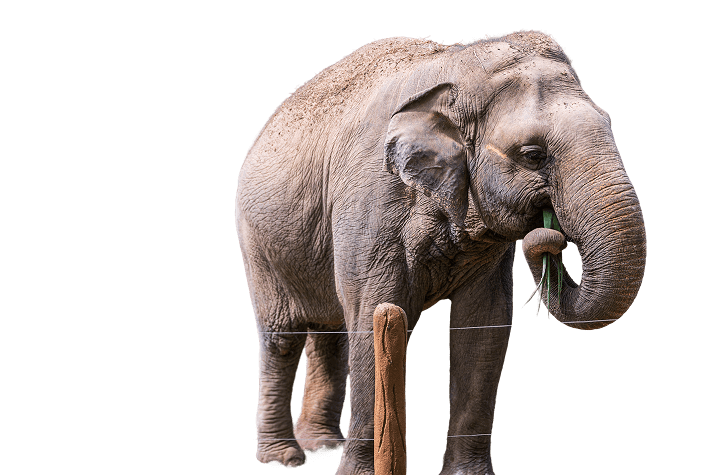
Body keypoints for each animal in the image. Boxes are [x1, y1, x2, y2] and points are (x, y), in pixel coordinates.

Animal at [235, 30, 646, 475]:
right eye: (533, 155)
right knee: (284, 335)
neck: (457, 69)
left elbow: (485, 326)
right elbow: (376, 312)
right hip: (258, 245)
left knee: (331, 329)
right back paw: (285, 457)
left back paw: (322, 444)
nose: (549, 234)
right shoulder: (371, 204)